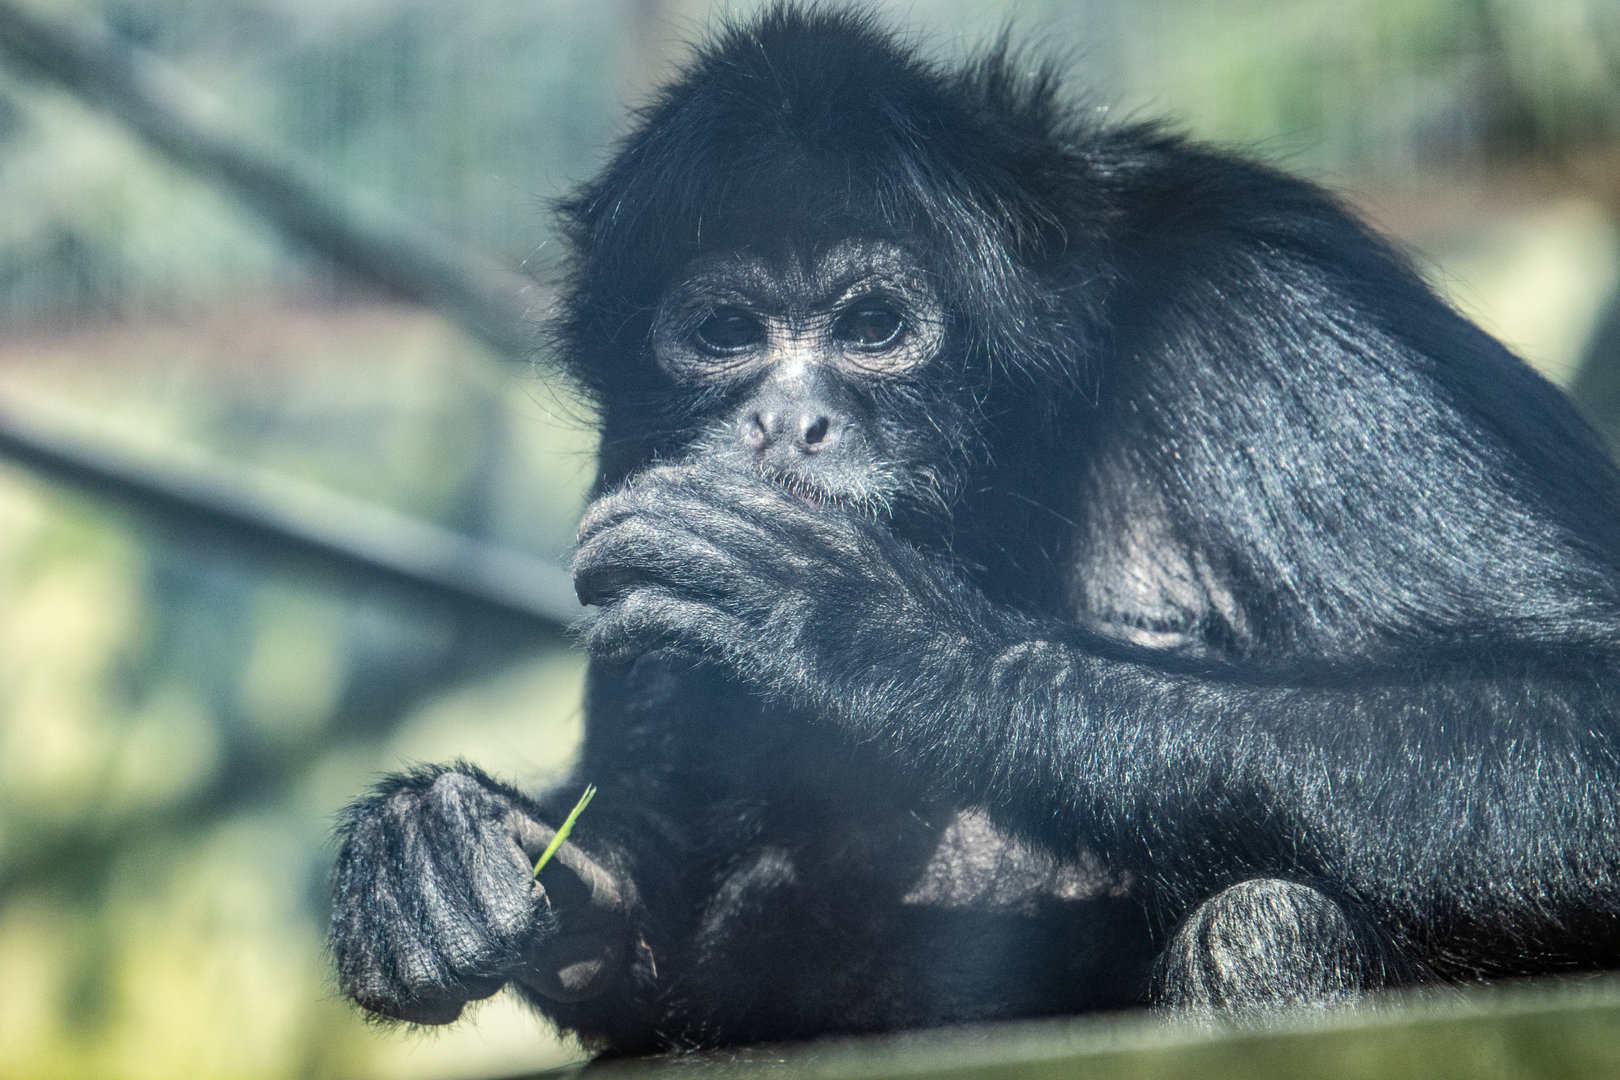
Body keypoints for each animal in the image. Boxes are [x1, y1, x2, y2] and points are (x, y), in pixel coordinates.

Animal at [329, 5, 1620, 1054]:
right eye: (727, 333)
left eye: (872, 324)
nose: (787, 421)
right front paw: (435, 853)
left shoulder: (1271, 319)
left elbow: (1583, 732)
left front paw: (871, 640)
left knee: (1262, 924)